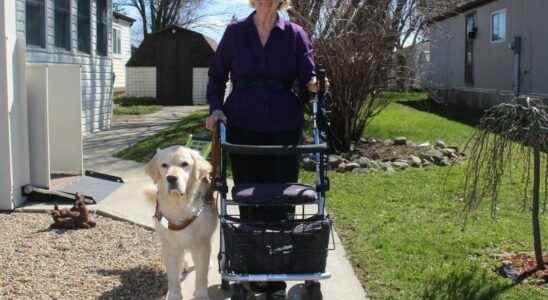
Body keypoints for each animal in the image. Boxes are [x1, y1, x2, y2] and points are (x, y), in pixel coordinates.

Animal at [146, 146, 218, 300]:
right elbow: (173, 276)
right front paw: (174, 294)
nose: (171, 178)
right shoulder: (171, 245)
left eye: (185, 164)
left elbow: (201, 275)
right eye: (164, 165)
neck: (179, 205)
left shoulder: (201, 244)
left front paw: (201, 295)